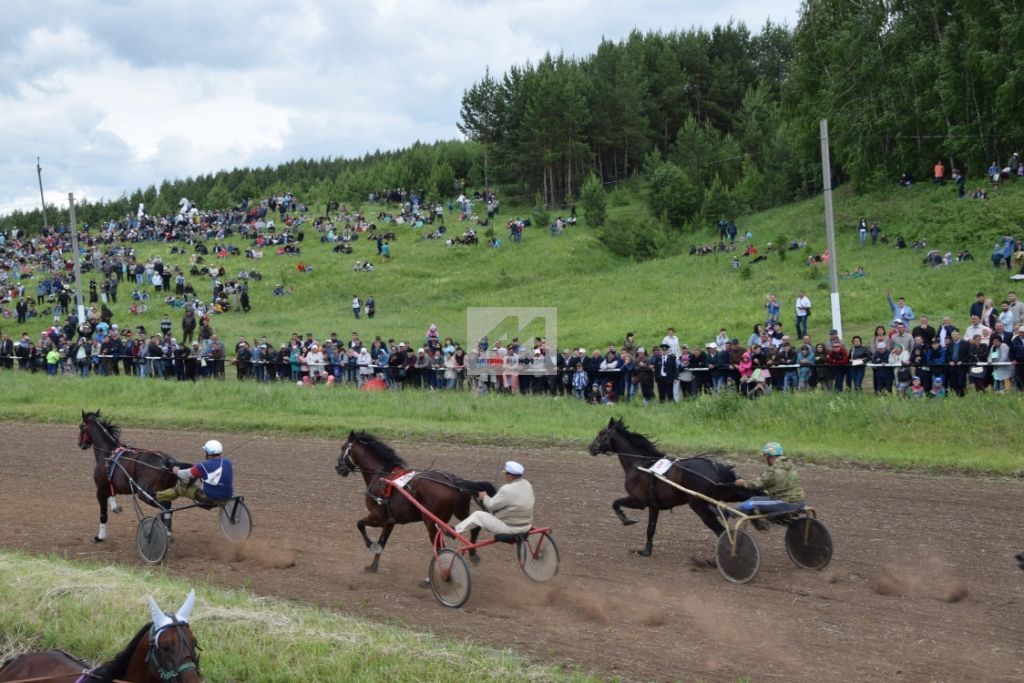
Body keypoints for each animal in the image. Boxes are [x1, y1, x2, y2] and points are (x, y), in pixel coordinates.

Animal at [78, 411, 187, 544]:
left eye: (81, 427)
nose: (80, 444)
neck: (108, 454)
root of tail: (167, 462)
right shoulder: (109, 485)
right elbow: (112, 496)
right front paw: (115, 507)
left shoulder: (100, 490)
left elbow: (103, 515)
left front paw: (100, 537)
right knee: (167, 508)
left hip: (145, 494)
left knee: (166, 506)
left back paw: (164, 532)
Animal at [335, 430, 495, 573]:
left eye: (343, 447)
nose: (338, 468)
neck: (381, 476)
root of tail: (453, 482)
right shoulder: (389, 521)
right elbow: (382, 541)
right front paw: (373, 567)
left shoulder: (378, 517)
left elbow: (360, 524)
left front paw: (371, 545)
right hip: (460, 512)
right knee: (475, 527)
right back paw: (473, 556)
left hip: (431, 522)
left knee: (439, 547)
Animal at [585, 417, 761, 557]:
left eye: (601, 433)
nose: (590, 448)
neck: (640, 464)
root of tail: (716, 467)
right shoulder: (653, 506)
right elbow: (650, 529)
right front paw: (646, 551)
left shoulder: (639, 501)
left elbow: (615, 503)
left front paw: (626, 519)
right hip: (727, 494)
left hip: (700, 506)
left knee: (721, 531)